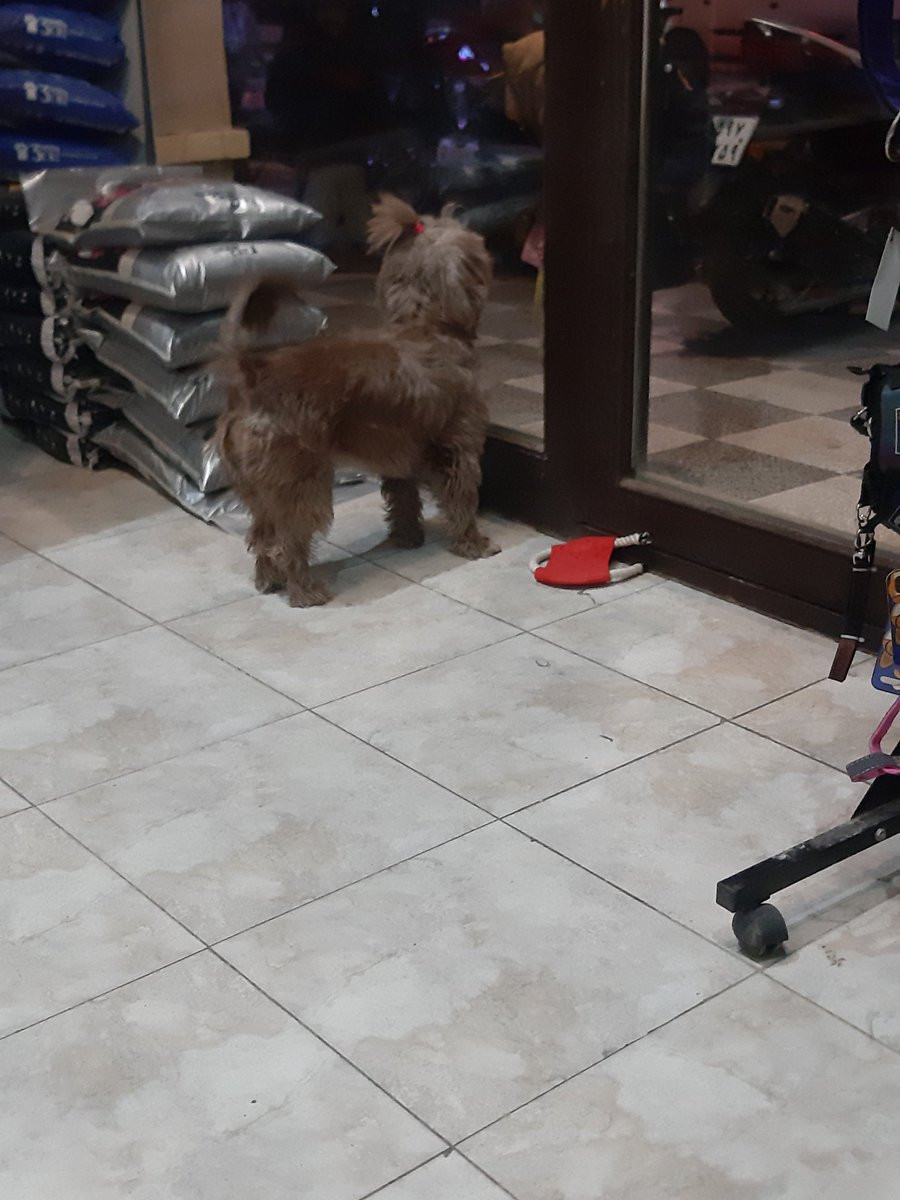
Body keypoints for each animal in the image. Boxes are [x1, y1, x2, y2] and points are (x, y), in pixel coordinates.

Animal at [218, 194, 500, 607]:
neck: (426, 325)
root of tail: (254, 375)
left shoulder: (399, 456)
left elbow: (403, 501)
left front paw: (407, 538)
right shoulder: (457, 448)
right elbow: (461, 499)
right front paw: (473, 543)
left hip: (260, 492)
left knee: (261, 538)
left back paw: (269, 582)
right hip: (304, 485)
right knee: (286, 543)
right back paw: (305, 591)